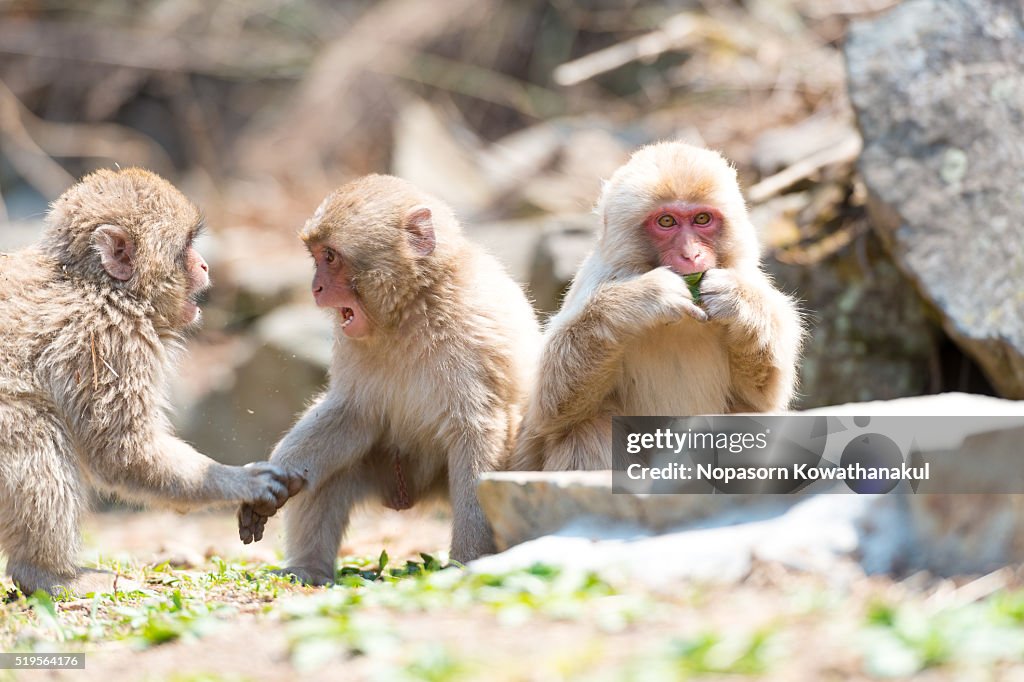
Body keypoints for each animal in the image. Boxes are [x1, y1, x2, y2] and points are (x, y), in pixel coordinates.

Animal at [0, 168, 303, 593]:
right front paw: (238, 481)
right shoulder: (110, 341)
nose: (205, 266)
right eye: (187, 247)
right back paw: (44, 573)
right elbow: (122, 451)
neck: (96, 285)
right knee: (36, 433)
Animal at [239, 175, 544, 577]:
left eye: (330, 257)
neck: (413, 307)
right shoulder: (349, 343)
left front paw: (468, 561)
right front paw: (272, 478)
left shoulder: (476, 333)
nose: (315, 288)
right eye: (316, 256)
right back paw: (308, 568)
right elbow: (352, 412)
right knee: (331, 468)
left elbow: (478, 433)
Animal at [516, 140, 802, 471]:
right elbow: (547, 409)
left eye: (702, 219)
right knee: (588, 426)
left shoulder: (747, 276)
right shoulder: (597, 278)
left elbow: (763, 397)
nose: (691, 255)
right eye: (666, 221)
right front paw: (644, 298)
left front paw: (735, 300)